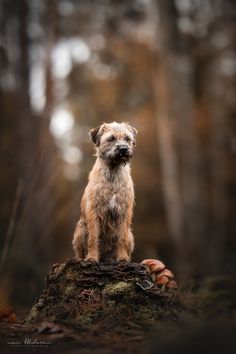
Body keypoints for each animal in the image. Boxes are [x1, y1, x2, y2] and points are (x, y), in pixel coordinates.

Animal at [73, 121, 137, 262]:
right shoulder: (94, 210)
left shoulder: (124, 211)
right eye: (111, 138)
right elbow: (93, 237)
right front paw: (91, 257)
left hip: (131, 236)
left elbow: (122, 237)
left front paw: (122, 257)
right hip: (79, 231)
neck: (113, 172)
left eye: (127, 138)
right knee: (79, 252)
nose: (123, 148)